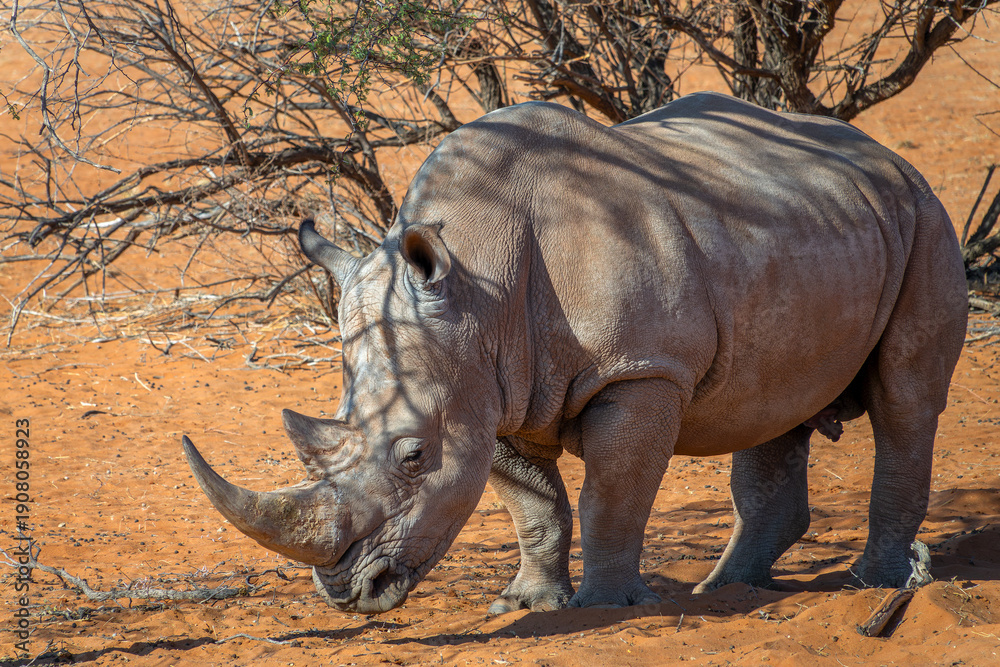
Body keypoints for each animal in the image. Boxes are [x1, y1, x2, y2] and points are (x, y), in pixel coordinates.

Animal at [182, 91, 967, 614]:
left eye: (412, 457)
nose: (350, 591)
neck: (478, 288)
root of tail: (885, 155)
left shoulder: (640, 371)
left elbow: (610, 496)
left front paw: (607, 605)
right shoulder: (488, 388)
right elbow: (535, 504)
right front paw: (529, 603)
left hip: (927, 220)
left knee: (905, 398)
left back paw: (871, 583)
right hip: (808, 225)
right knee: (772, 405)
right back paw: (727, 588)